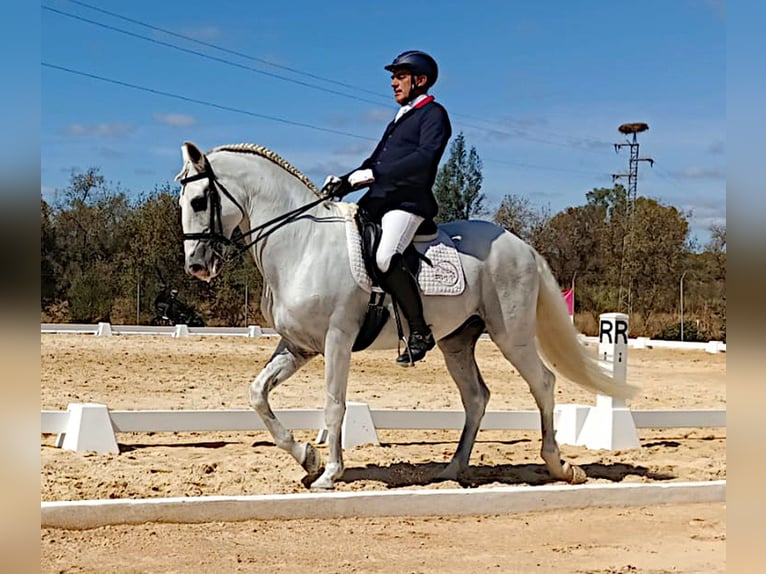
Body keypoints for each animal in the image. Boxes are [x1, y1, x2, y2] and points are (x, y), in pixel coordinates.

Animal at [178, 142, 636, 492]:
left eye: (200, 201)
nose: (196, 267)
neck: (302, 241)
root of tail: (520, 244)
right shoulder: (299, 345)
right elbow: (258, 393)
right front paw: (307, 458)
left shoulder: (336, 340)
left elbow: (334, 404)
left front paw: (329, 473)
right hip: (457, 342)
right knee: (476, 397)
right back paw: (452, 469)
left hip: (513, 336)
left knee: (542, 383)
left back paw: (559, 466)